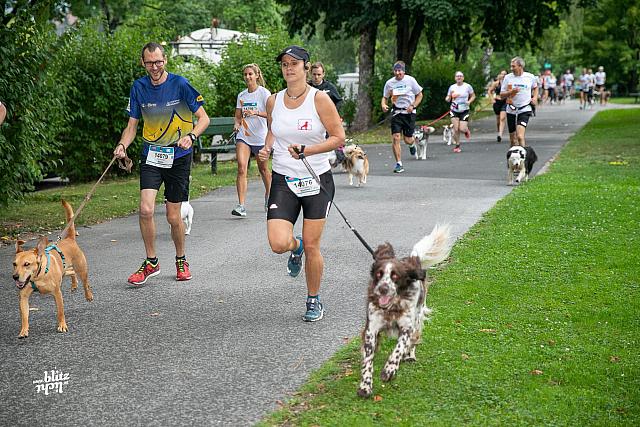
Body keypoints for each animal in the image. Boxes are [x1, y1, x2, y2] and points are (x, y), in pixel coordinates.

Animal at [11, 199, 92, 340]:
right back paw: (74, 284)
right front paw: (23, 331)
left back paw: (88, 295)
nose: (15, 277)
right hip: (65, 270)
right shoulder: (23, 296)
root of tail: (70, 239)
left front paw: (62, 325)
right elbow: (24, 316)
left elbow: (60, 311)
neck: (38, 276)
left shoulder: (57, 293)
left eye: (27, 264)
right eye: (14, 264)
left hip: (81, 269)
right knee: (71, 273)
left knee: (85, 282)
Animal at [358, 226, 452, 400]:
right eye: (379, 274)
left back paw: (410, 355)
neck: (392, 307)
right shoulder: (371, 328)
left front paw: (389, 370)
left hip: (418, 316)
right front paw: (365, 386)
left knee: (413, 339)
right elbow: (368, 359)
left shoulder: (407, 327)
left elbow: (399, 348)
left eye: (395, 275)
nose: (383, 289)